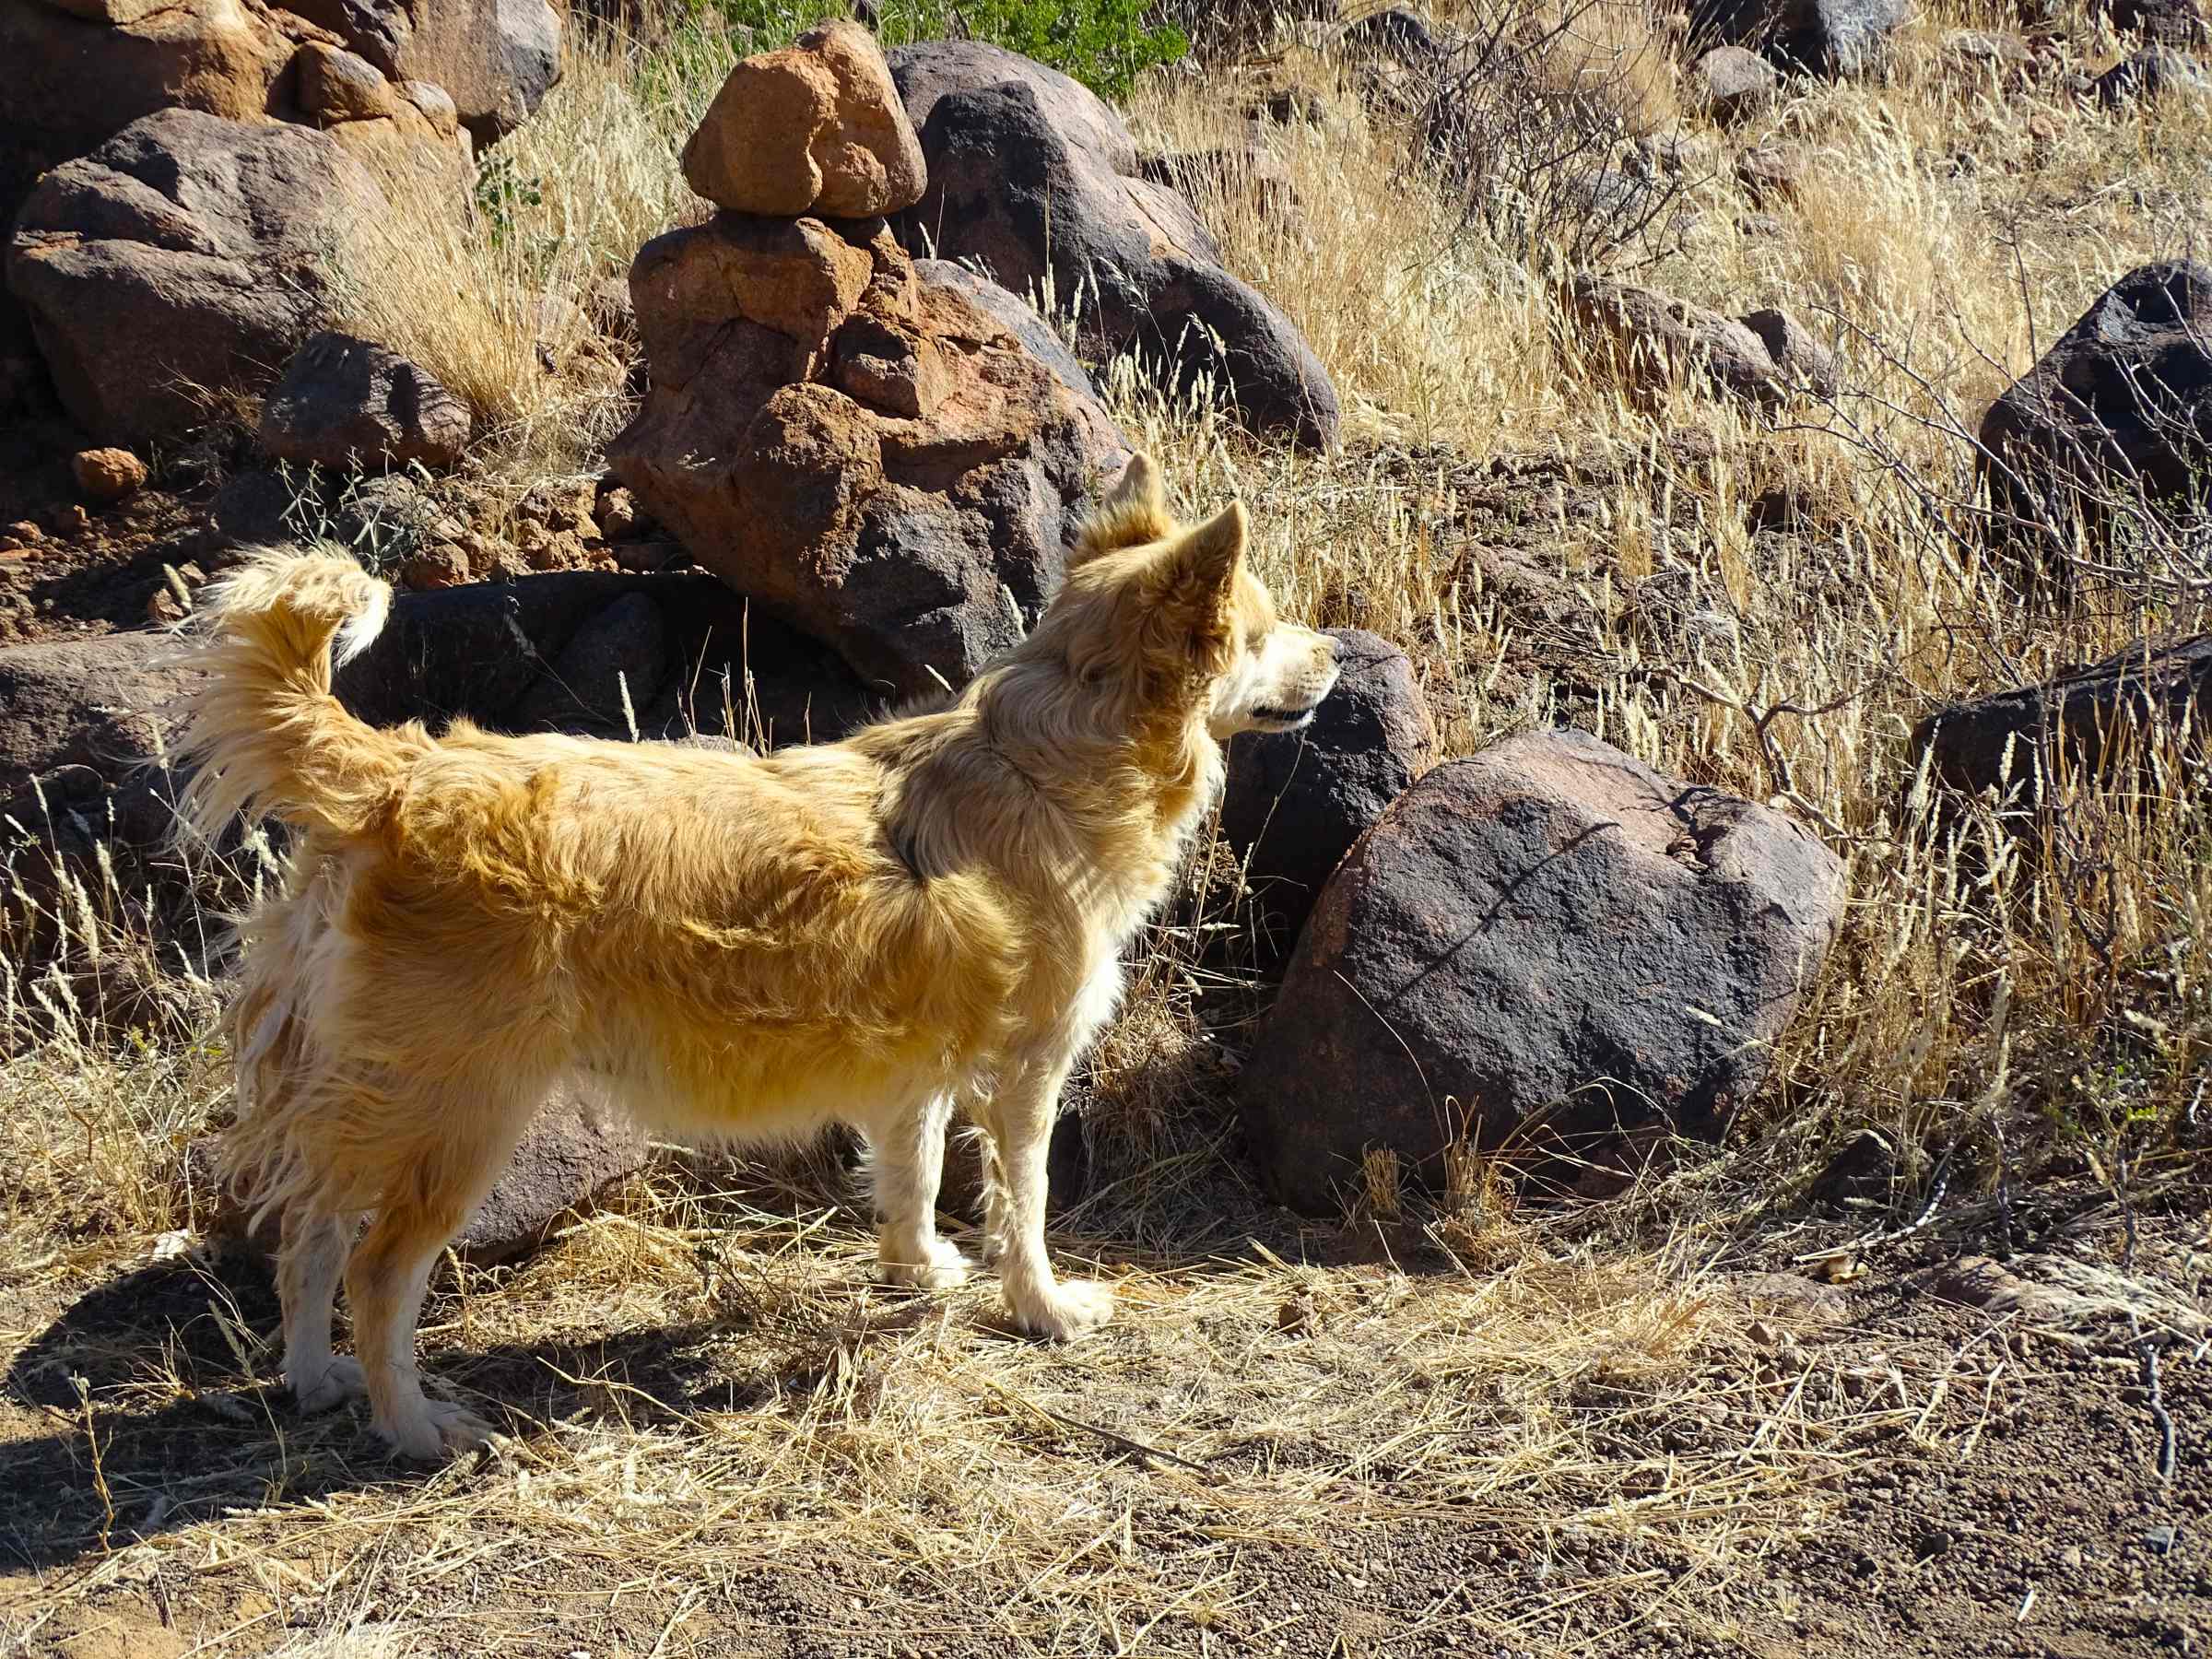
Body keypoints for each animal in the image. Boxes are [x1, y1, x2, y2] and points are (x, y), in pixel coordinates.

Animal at [177, 455, 1327, 1451]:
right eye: (1265, 631)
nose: (1334, 656)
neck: (1045, 758)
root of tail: (400, 771)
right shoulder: (1026, 1076)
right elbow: (1027, 1203)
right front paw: (1042, 1306)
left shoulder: (913, 1072)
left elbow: (910, 1176)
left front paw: (919, 1271)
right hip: (460, 1114)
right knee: (377, 1271)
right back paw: (412, 1427)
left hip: (369, 1093)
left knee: (310, 1232)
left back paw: (317, 1379)